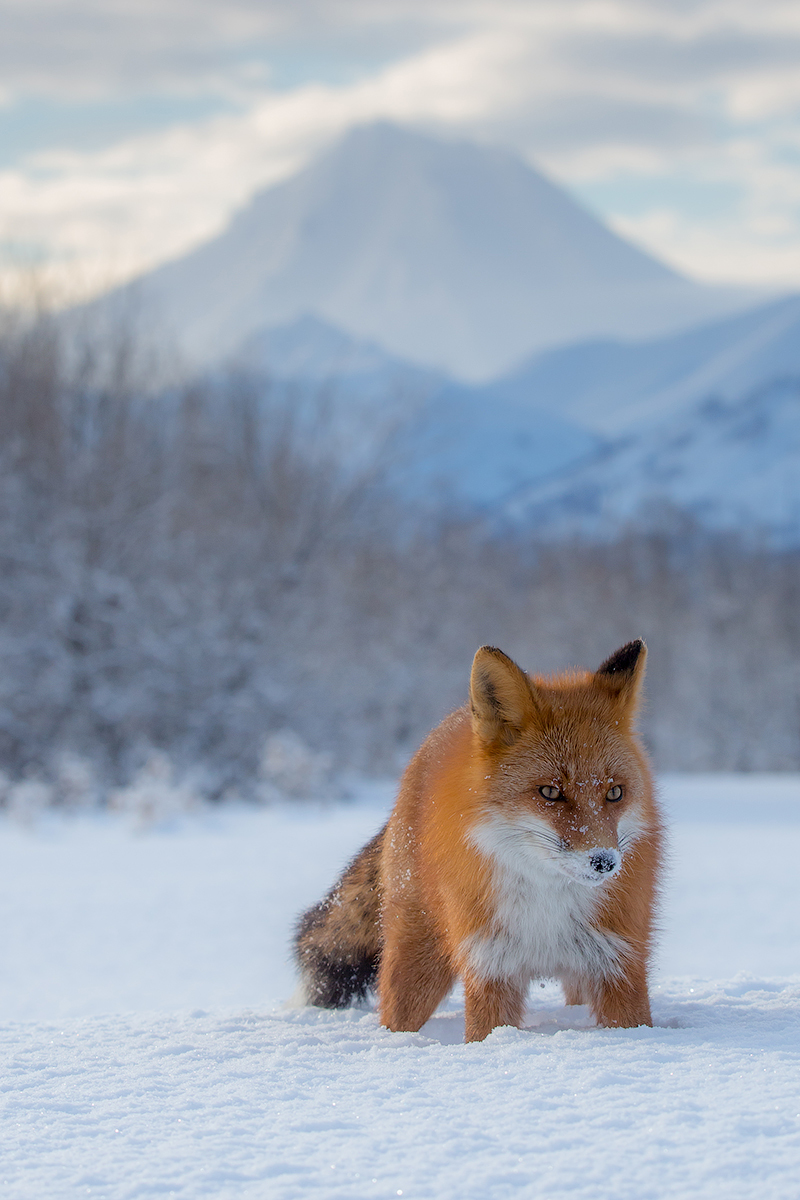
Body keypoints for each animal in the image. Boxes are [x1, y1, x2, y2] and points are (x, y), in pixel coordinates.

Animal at [293, 638, 662, 1041]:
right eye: (550, 792)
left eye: (615, 793)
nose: (604, 862)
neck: (546, 911)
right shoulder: (491, 968)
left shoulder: (619, 963)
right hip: (418, 969)